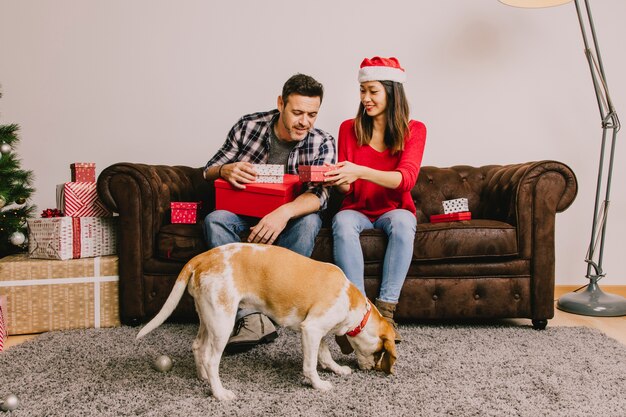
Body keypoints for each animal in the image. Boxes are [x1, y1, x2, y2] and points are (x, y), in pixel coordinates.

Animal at [136, 242, 394, 402]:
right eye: (379, 351)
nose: (371, 369)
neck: (352, 302)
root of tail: (204, 257)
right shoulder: (311, 329)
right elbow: (310, 364)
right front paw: (318, 385)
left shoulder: (316, 332)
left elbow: (324, 355)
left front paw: (337, 369)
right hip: (222, 322)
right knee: (211, 359)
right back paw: (219, 393)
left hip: (208, 318)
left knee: (198, 346)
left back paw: (204, 378)